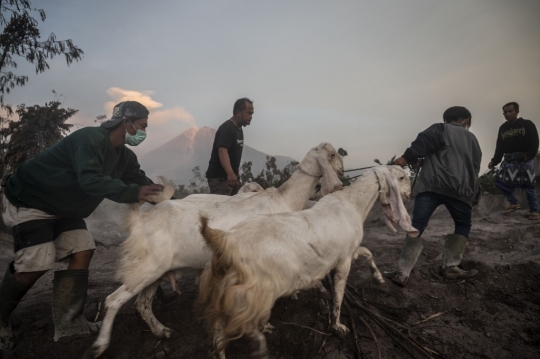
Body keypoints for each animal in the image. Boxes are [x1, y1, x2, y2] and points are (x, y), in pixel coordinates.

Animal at [86, 142, 344, 358]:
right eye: (332, 154)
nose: (342, 171)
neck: (285, 199)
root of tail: (140, 220)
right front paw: (268, 324)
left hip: (156, 271)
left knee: (142, 304)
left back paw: (162, 331)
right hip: (145, 268)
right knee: (113, 300)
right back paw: (100, 346)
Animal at [197, 167, 418, 359]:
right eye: (402, 177)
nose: (409, 195)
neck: (353, 203)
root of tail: (225, 241)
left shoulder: (350, 251)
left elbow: (368, 253)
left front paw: (378, 278)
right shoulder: (344, 261)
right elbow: (338, 295)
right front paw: (338, 326)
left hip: (222, 288)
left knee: (217, 334)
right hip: (253, 292)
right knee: (239, 328)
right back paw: (260, 344)